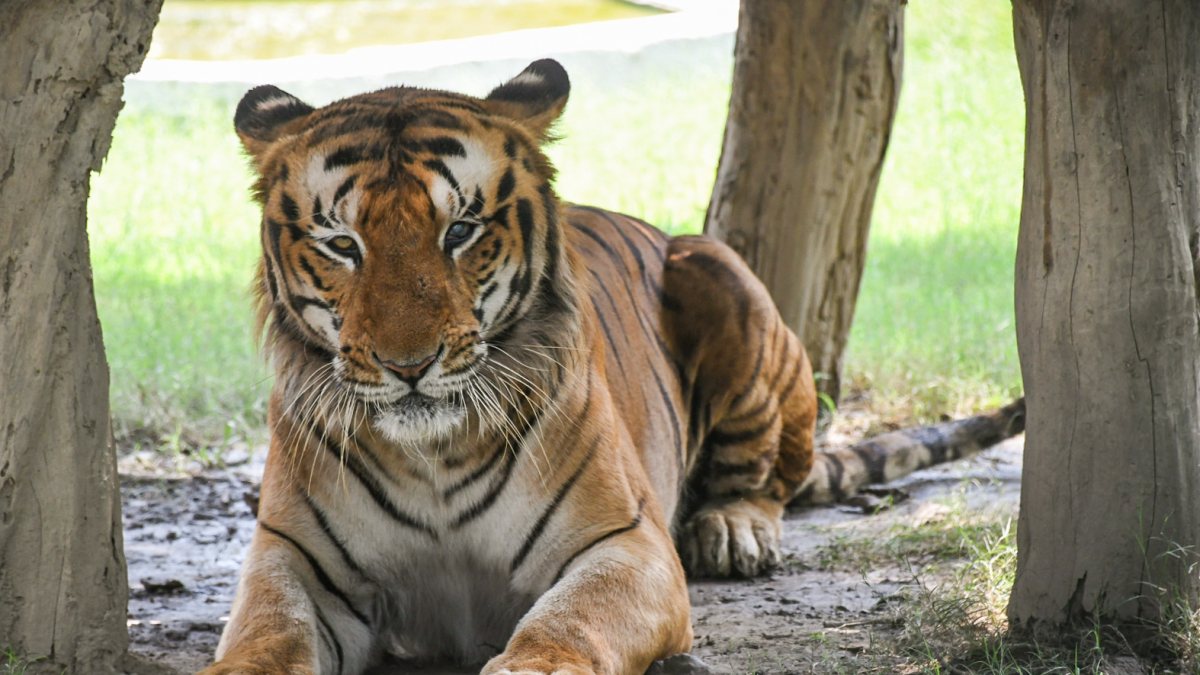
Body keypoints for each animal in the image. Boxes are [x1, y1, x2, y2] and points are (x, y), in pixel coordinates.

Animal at [203, 59, 1025, 675]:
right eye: (343, 244)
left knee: (769, 472)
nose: (410, 365)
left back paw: (733, 530)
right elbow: (268, 635)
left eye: (460, 230)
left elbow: (570, 621)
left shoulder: (623, 542)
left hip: (720, 270)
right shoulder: (294, 560)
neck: (431, 454)